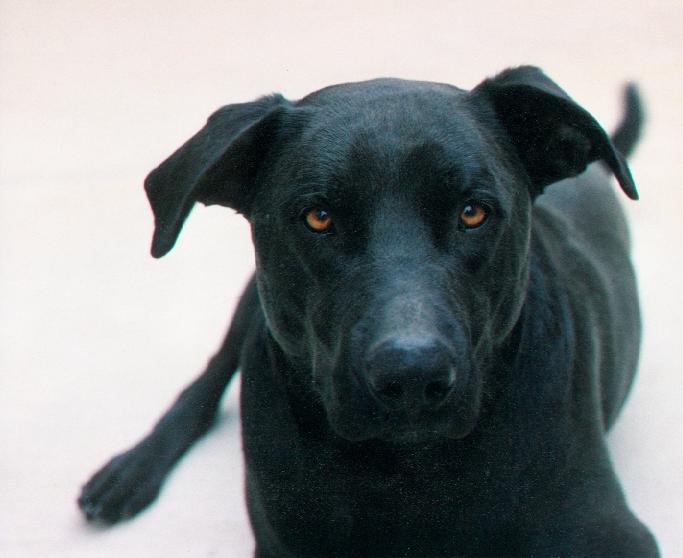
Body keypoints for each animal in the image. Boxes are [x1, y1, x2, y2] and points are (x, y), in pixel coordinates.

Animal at [79, 66, 659, 557]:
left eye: (473, 212)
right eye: (318, 217)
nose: (412, 376)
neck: (404, 472)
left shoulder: (610, 533)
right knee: (210, 375)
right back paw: (130, 471)